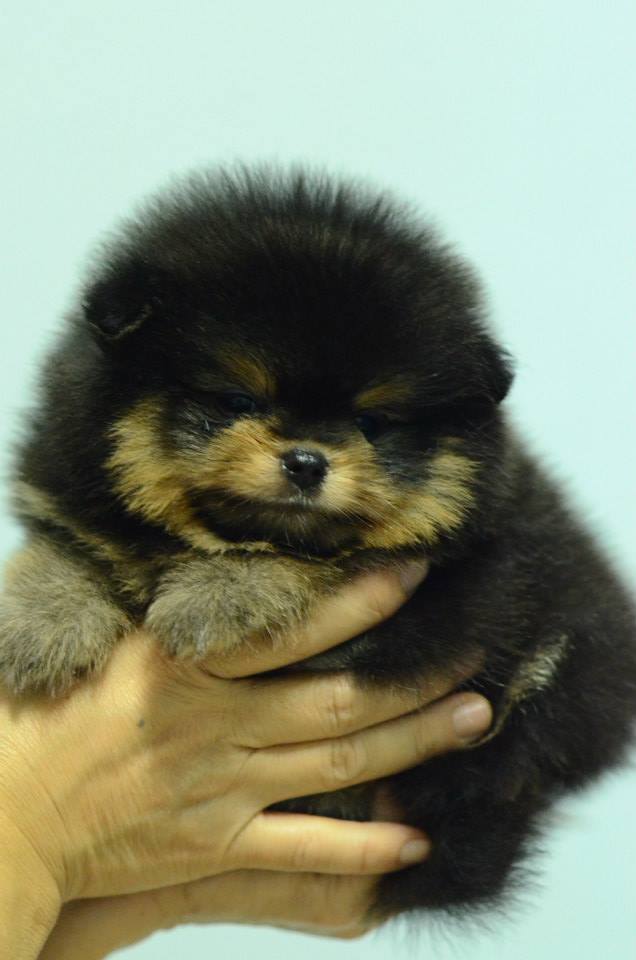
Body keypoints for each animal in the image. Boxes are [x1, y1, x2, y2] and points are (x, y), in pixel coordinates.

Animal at [1, 165, 635, 919]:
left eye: (372, 423)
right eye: (237, 400)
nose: (307, 461)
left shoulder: (462, 586)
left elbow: (318, 560)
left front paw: (218, 596)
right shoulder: (70, 493)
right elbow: (73, 543)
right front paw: (39, 622)